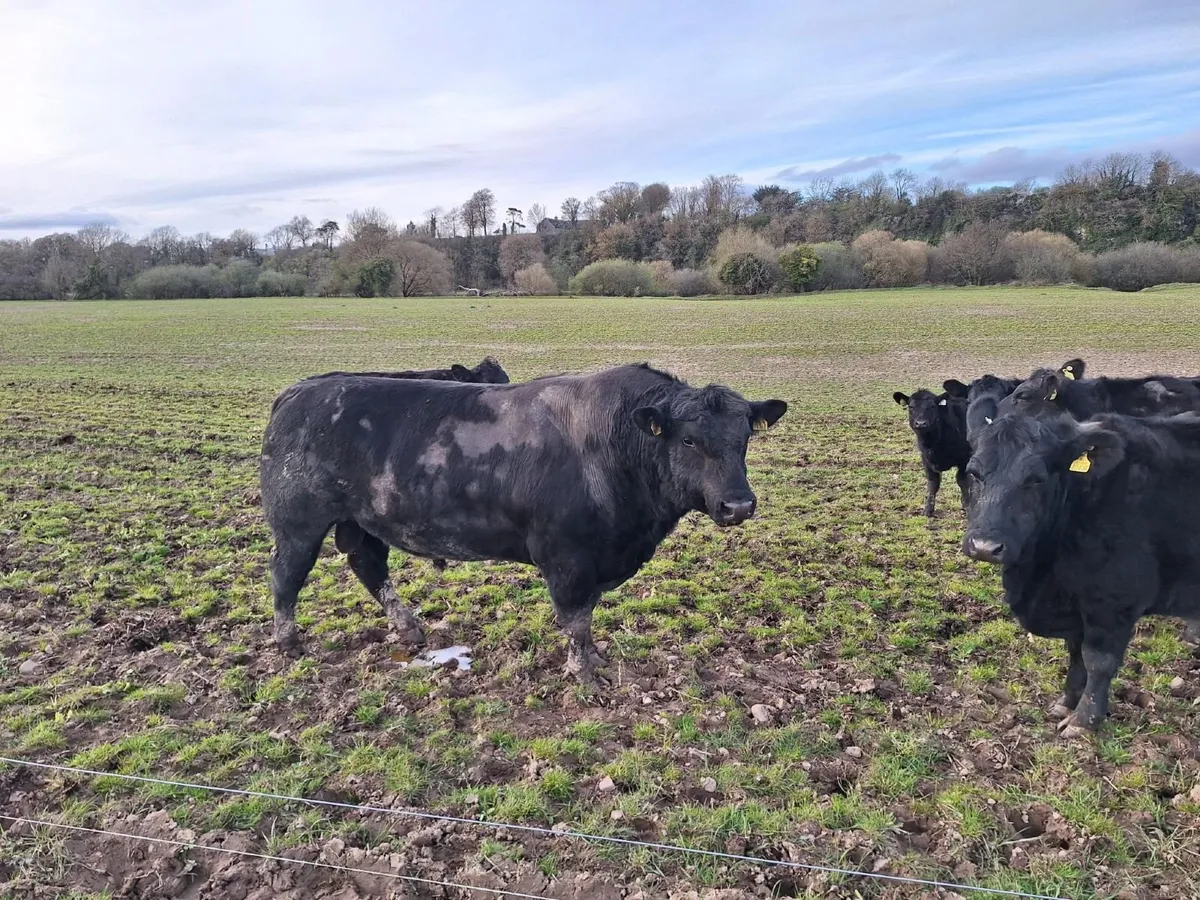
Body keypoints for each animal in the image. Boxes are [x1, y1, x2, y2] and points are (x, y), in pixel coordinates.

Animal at [259, 363, 787, 684]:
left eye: (744, 437)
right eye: (690, 441)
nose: (738, 506)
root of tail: (298, 391)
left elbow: (586, 618)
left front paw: (595, 659)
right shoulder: (568, 559)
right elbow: (576, 620)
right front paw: (585, 673)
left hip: (361, 520)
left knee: (369, 565)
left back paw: (410, 630)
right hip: (298, 523)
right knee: (287, 576)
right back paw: (287, 642)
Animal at [892, 389, 970, 517]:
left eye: (932, 406)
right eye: (911, 407)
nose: (921, 423)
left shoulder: (965, 458)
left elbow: (962, 481)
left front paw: (967, 506)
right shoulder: (926, 459)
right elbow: (933, 484)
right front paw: (928, 510)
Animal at [961, 404, 1200, 737]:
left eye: (1035, 479)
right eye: (973, 472)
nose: (985, 546)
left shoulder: (1113, 603)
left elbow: (1098, 661)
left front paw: (1083, 721)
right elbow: (1076, 654)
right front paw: (1066, 702)